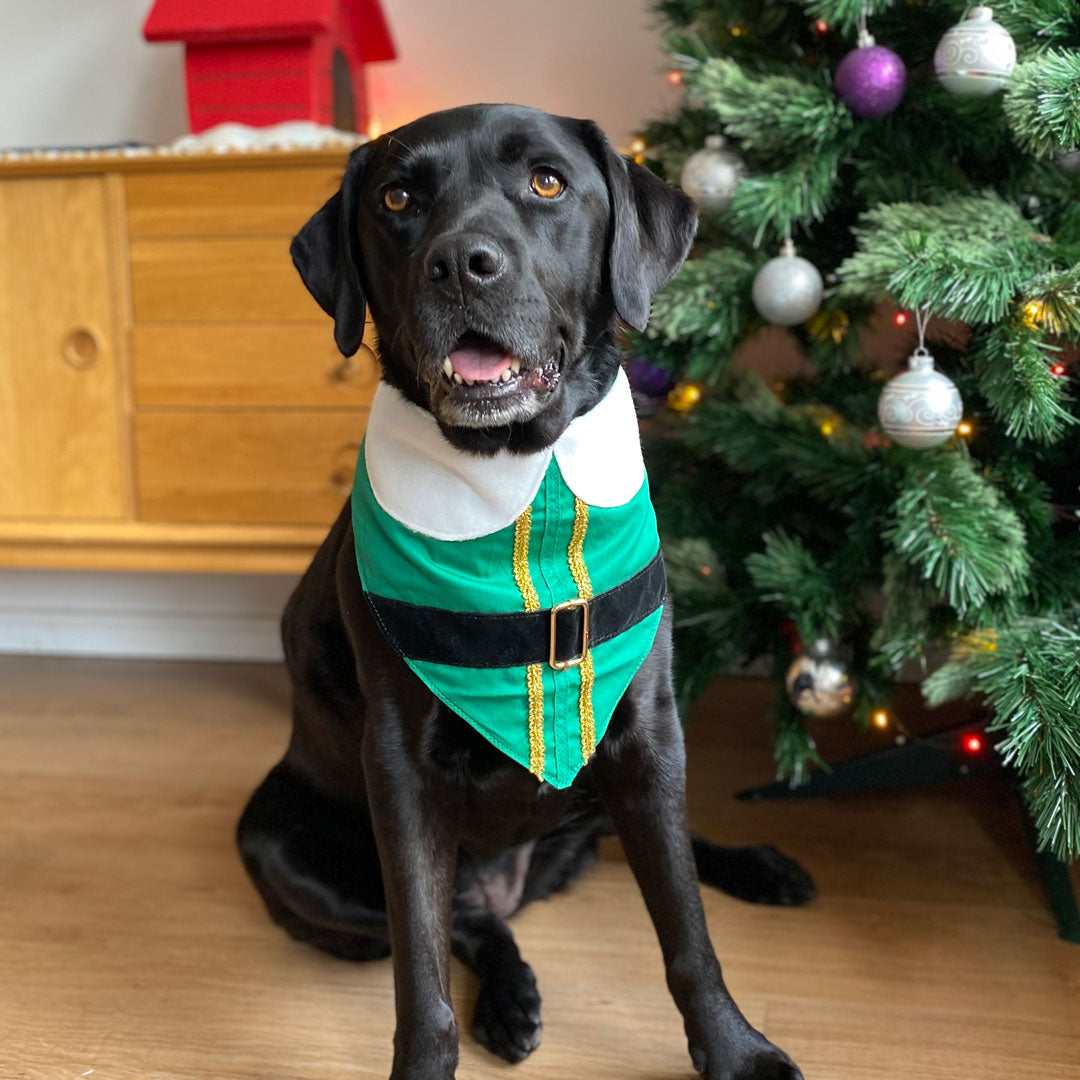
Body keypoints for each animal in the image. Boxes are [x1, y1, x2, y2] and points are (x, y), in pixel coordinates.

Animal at [236, 103, 812, 1080]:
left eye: (547, 182)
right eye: (397, 199)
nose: (461, 263)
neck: (521, 486)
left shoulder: (646, 729)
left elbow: (685, 927)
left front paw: (737, 1051)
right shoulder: (400, 767)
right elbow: (422, 970)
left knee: (640, 850)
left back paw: (763, 867)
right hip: (277, 844)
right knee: (469, 925)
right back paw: (508, 997)